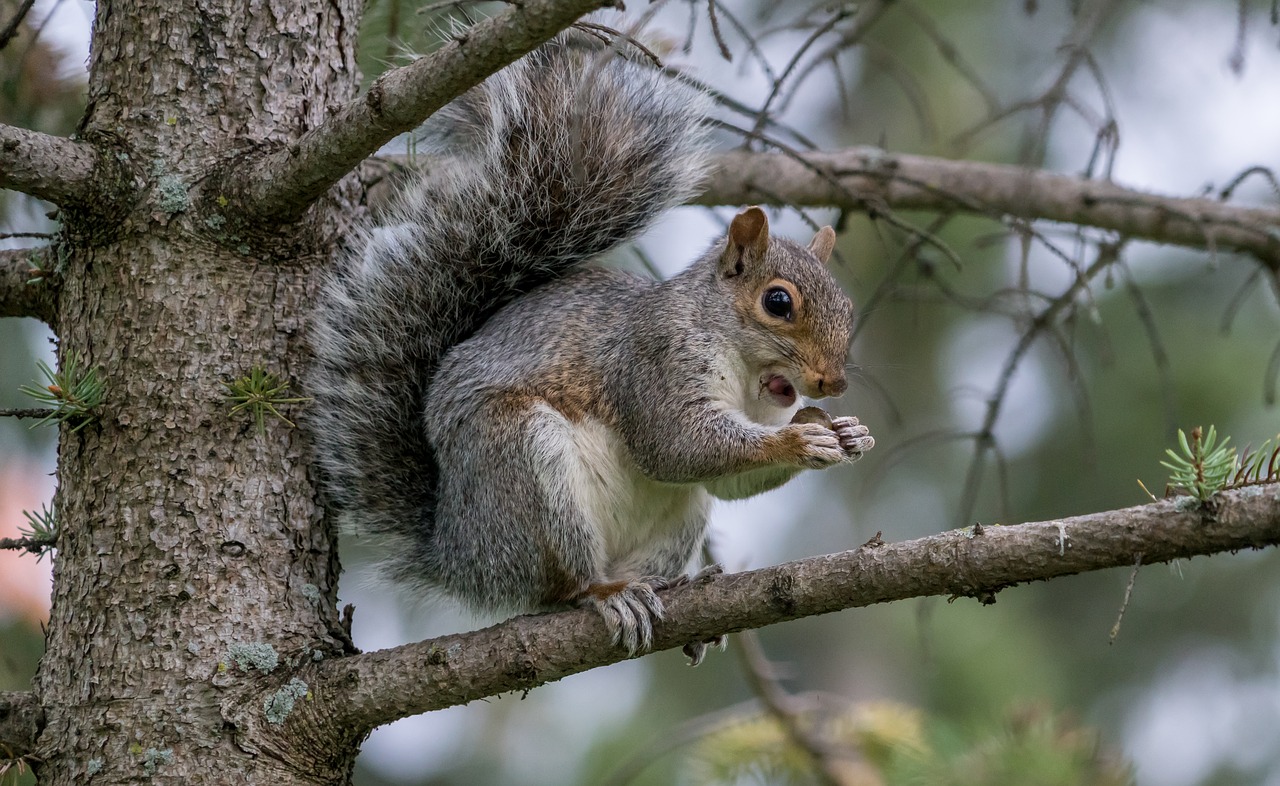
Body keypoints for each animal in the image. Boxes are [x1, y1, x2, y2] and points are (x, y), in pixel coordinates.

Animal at [308, 29, 870, 665]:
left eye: (847, 307)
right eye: (778, 302)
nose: (833, 382)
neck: (743, 368)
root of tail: (457, 552)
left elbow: (727, 477)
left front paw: (844, 432)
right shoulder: (654, 358)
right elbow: (677, 444)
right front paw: (800, 437)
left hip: (675, 518)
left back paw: (670, 588)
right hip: (524, 468)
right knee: (558, 585)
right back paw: (603, 593)